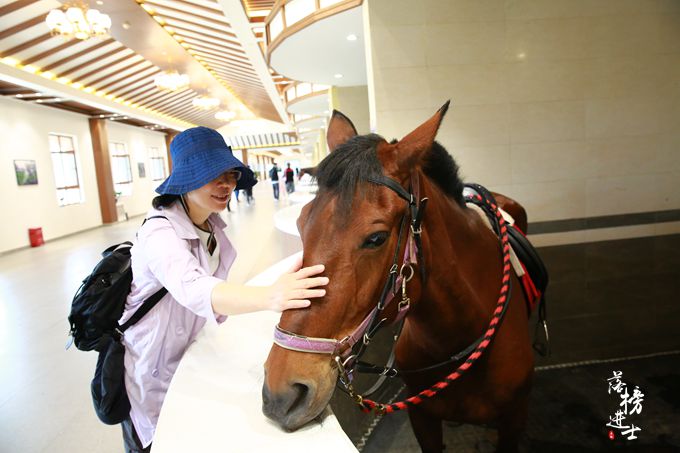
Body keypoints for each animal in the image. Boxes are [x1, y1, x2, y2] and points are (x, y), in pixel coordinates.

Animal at [262, 104, 532, 450]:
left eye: (376, 238)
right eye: (300, 222)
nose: (281, 394)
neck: (459, 335)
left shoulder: (514, 421)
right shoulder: (423, 419)